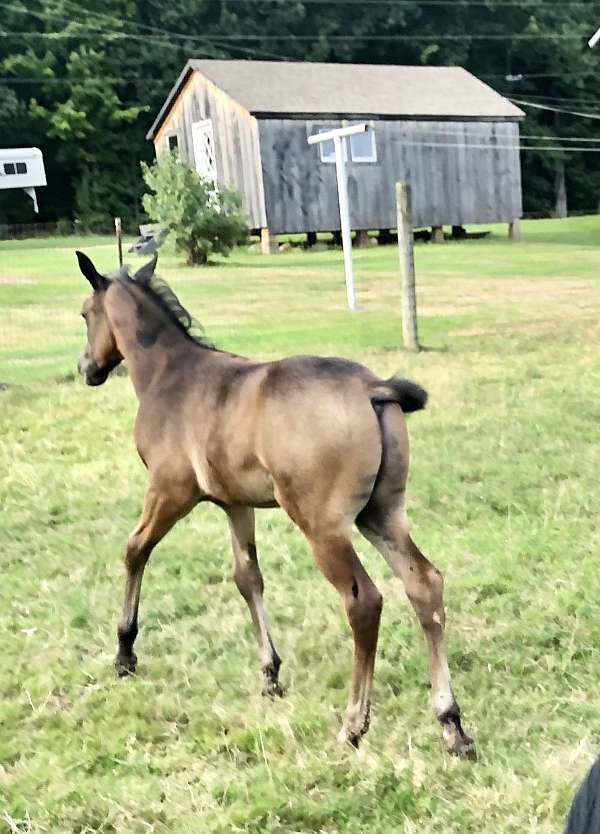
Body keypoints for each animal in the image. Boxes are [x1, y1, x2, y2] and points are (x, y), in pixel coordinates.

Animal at [75, 250, 476, 756]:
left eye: (85, 314)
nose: (86, 368)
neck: (169, 374)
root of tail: (373, 389)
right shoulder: (234, 503)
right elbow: (247, 577)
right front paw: (270, 673)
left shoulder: (170, 490)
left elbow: (134, 550)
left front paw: (124, 653)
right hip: (382, 513)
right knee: (424, 584)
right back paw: (451, 725)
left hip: (323, 525)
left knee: (364, 602)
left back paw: (353, 724)